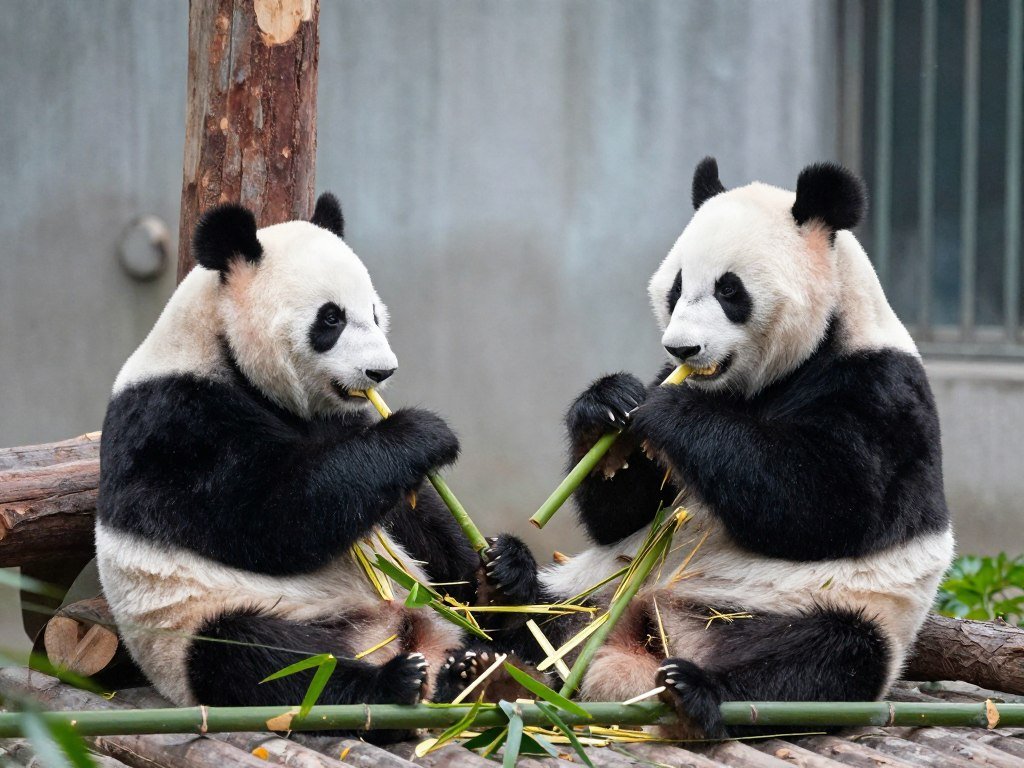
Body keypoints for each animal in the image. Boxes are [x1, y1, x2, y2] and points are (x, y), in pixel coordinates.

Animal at [95, 194, 500, 735]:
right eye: (330, 319)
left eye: (375, 313)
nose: (381, 371)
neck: (219, 343)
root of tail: (395, 633)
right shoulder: (176, 425)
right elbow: (274, 518)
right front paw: (422, 431)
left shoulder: (339, 423)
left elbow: (412, 516)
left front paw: (494, 563)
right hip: (203, 625)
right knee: (261, 659)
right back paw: (398, 684)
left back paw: (486, 644)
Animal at [526, 158, 954, 737]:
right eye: (677, 287)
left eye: (730, 290)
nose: (682, 348)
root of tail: (641, 637)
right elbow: (623, 513)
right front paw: (608, 406)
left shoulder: (880, 392)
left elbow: (827, 504)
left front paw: (671, 410)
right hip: (595, 584)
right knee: (538, 614)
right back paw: (502, 581)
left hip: (814, 611)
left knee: (821, 660)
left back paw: (695, 690)